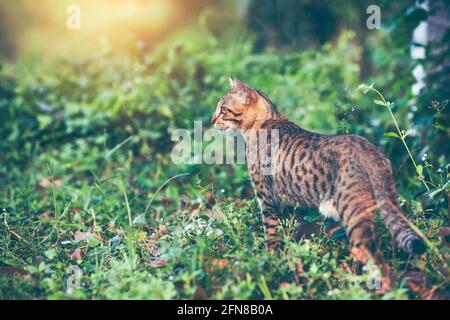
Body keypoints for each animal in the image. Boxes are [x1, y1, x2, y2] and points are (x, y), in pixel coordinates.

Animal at [211, 77, 426, 268]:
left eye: (223, 109)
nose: (212, 120)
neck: (264, 123)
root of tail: (371, 151)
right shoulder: (286, 204)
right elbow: (287, 238)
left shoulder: (267, 200)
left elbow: (271, 238)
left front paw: (269, 263)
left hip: (353, 213)